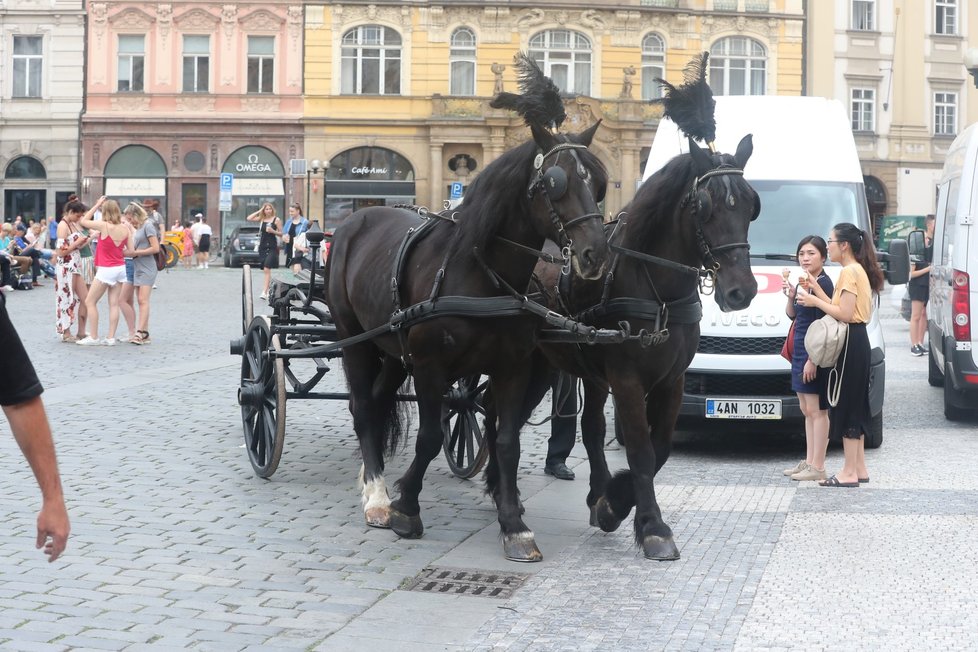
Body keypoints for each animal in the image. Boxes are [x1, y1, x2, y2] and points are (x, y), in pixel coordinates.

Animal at [324, 121, 608, 560]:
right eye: (555, 182)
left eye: (598, 183)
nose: (596, 254)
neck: (480, 272)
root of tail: (358, 216)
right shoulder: (429, 366)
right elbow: (429, 438)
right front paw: (406, 509)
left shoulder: (513, 368)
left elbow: (507, 440)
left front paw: (514, 526)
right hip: (355, 339)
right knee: (361, 407)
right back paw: (377, 496)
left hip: (393, 350)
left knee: (376, 401)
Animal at [484, 134, 760, 560]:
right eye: (705, 206)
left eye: (750, 205)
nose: (741, 291)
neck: (657, 291)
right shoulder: (628, 381)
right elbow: (641, 450)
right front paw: (652, 527)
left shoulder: (672, 381)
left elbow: (660, 447)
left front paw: (612, 503)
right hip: (528, 364)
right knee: (497, 414)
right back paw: (501, 492)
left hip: (564, 368)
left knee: (589, 426)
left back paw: (589, 492)